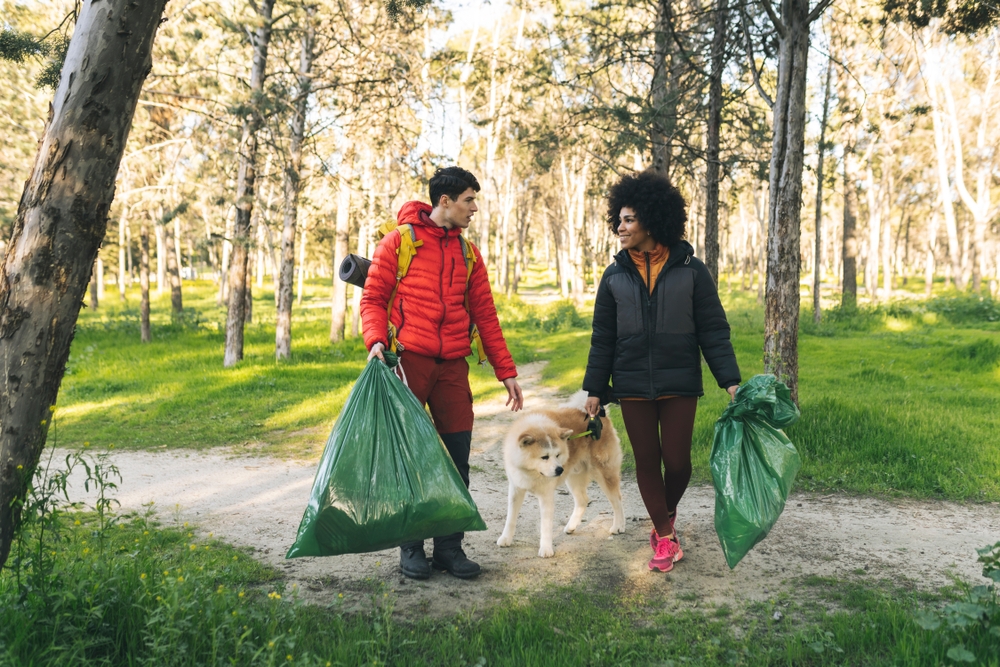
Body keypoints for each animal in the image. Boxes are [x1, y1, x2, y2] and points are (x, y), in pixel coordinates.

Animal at [494, 392, 624, 560]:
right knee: (583, 501)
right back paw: (571, 526)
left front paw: (546, 548)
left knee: (617, 500)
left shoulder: (546, 496)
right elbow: (510, 518)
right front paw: (505, 538)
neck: (532, 472)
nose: (559, 470)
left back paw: (618, 526)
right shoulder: (516, 489)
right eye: (544, 457)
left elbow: (545, 526)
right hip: (574, 477)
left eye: (557, 455)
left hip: (603, 473)